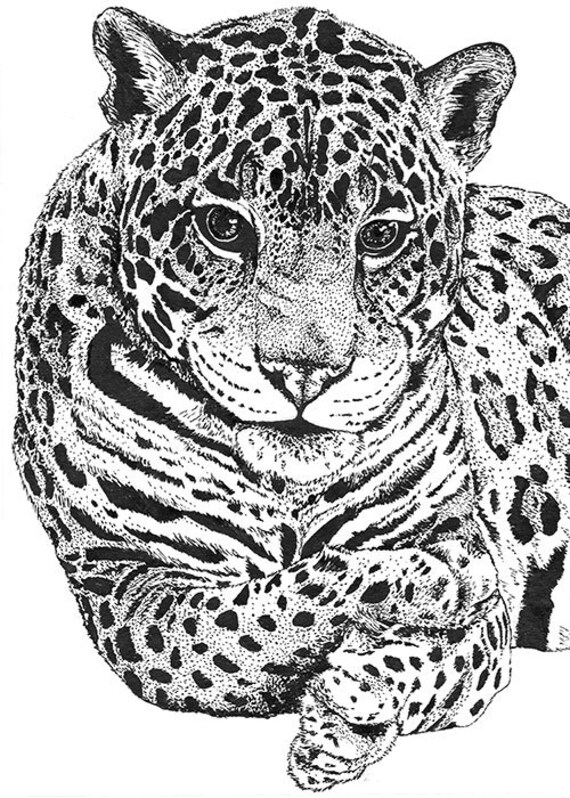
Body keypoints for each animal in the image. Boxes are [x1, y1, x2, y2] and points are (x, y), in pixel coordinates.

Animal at [13, 6, 570, 791]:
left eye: (382, 235)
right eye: (223, 227)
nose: (304, 371)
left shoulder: (462, 554)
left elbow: (450, 659)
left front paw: (351, 703)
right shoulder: (119, 579)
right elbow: (240, 621)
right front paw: (430, 582)